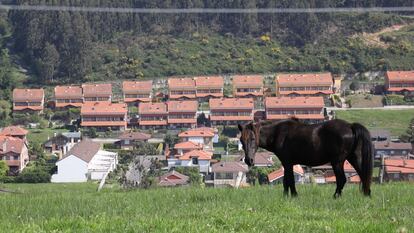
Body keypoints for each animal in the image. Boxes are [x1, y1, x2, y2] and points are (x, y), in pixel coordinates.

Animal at [238, 119, 374, 198]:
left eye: (252, 138)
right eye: (241, 140)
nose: (248, 160)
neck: (278, 133)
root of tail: (350, 126)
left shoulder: (287, 162)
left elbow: (290, 180)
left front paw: (294, 195)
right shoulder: (287, 164)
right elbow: (286, 181)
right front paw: (285, 196)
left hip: (337, 162)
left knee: (342, 179)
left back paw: (336, 196)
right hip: (353, 158)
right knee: (363, 175)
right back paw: (366, 195)